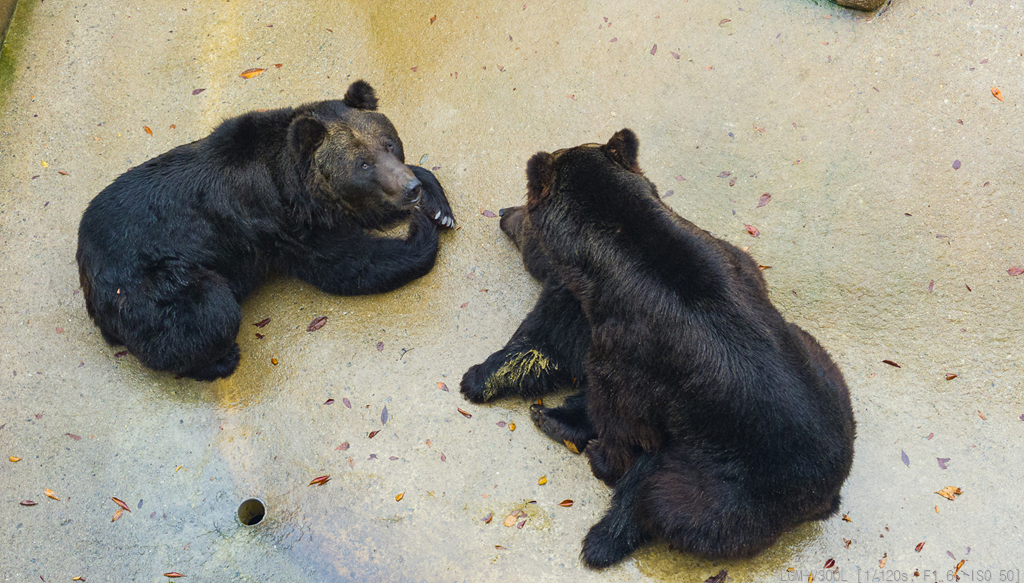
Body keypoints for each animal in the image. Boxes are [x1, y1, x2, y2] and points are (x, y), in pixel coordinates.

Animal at [77, 80, 455, 381]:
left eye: (389, 144)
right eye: (363, 163)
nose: (409, 189)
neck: (291, 180)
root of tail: (85, 270)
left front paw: (438, 206)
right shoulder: (281, 224)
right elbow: (349, 263)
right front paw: (421, 234)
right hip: (148, 282)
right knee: (207, 312)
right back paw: (220, 360)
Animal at [460, 129, 855, 568]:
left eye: (523, 211)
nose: (501, 211)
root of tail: (828, 493)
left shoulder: (626, 349)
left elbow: (617, 416)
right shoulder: (733, 260)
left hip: (733, 488)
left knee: (660, 495)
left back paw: (599, 528)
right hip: (819, 359)